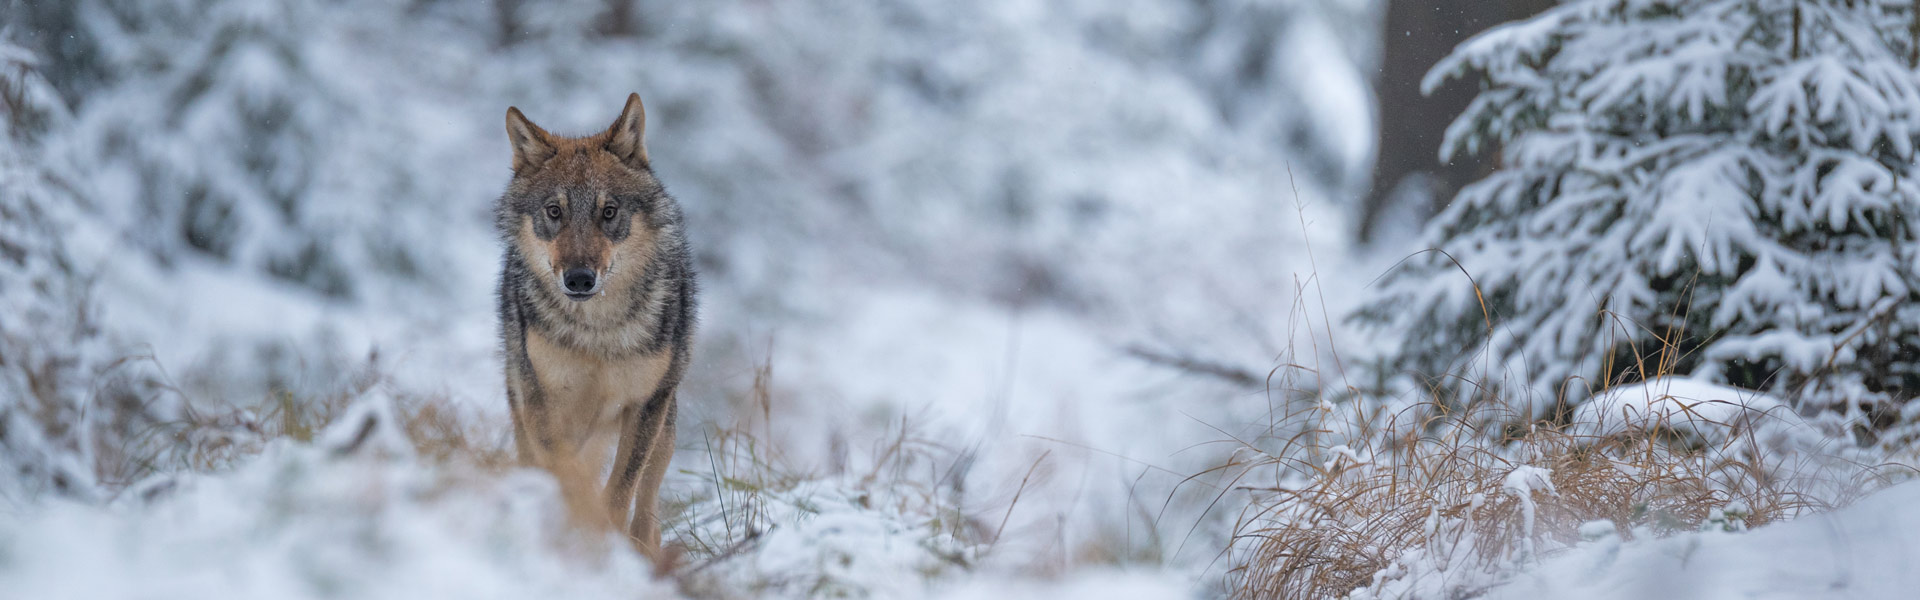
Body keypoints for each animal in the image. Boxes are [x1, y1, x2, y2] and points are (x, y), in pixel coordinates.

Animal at [495, 93, 696, 559]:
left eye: (609, 212)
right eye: (554, 211)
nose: (580, 279)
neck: (597, 335)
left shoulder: (644, 405)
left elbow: (621, 489)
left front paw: (606, 536)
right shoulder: (542, 401)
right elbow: (567, 472)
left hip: (665, 426)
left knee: (648, 500)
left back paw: (645, 548)